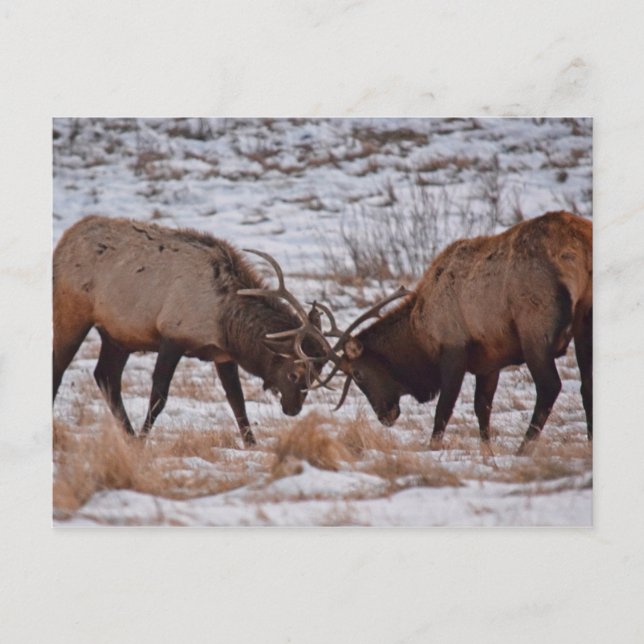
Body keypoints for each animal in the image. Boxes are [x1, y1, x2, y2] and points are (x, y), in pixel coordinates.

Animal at [52, 215, 329, 447]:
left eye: (316, 376)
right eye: (294, 373)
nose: (293, 409)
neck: (226, 321)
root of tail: (63, 241)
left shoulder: (223, 355)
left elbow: (237, 401)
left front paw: (252, 445)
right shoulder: (173, 336)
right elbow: (159, 396)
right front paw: (143, 441)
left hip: (118, 334)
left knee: (106, 376)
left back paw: (127, 435)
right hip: (72, 312)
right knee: (59, 369)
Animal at [312, 211, 592, 455]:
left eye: (358, 373)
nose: (385, 416)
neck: (419, 333)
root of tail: (578, 251)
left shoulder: (453, 348)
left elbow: (443, 409)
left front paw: (433, 448)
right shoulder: (489, 359)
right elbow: (482, 409)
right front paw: (487, 455)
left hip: (534, 327)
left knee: (550, 386)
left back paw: (523, 450)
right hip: (585, 319)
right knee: (586, 385)